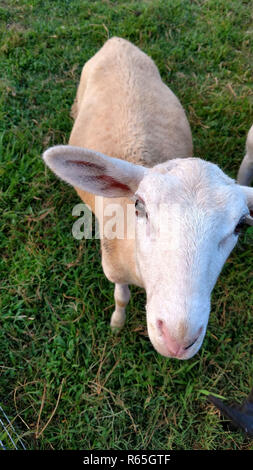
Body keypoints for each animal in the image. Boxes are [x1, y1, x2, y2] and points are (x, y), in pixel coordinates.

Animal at [42, 37, 252, 360]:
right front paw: (117, 324)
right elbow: (121, 298)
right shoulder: (113, 269)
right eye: (140, 206)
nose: (178, 339)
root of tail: (116, 41)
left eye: (241, 225)